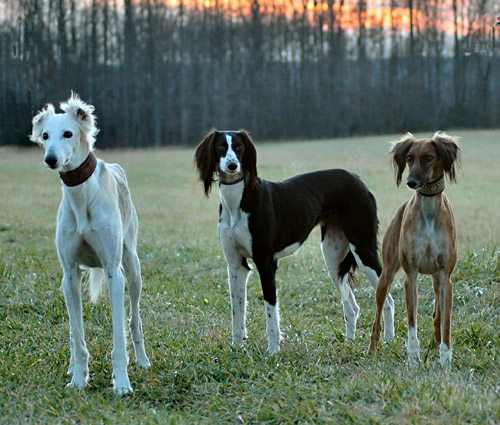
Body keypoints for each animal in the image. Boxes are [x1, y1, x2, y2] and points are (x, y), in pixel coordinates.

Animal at [29, 93, 148, 394]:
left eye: (68, 133)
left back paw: (143, 361)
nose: (51, 159)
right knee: (74, 336)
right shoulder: (69, 275)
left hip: (132, 267)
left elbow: (119, 339)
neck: (81, 196)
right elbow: (77, 335)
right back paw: (73, 366)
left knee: (135, 320)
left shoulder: (114, 273)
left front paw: (122, 383)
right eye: (45, 135)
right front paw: (79, 380)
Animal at [368, 131, 460, 366]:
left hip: (436, 279)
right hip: (385, 277)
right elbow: (412, 321)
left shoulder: (445, 276)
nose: (411, 182)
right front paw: (414, 357)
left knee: (438, 315)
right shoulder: (412, 275)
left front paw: (445, 358)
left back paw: (436, 344)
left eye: (428, 157)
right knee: (377, 320)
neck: (428, 212)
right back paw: (372, 351)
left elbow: (446, 322)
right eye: (409, 158)